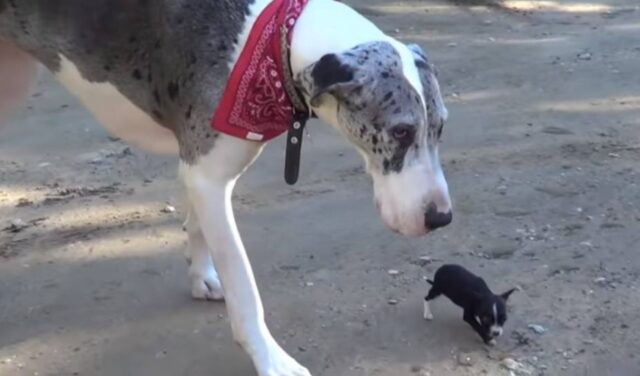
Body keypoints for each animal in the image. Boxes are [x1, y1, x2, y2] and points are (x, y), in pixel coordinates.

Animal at [0, 0, 450, 376]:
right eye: (401, 131)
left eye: (441, 127)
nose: (441, 217)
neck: (273, 43)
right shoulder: (210, 177)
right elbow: (244, 286)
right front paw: (271, 359)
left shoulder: (200, 170)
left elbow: (197, 226)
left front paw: (202, 277)